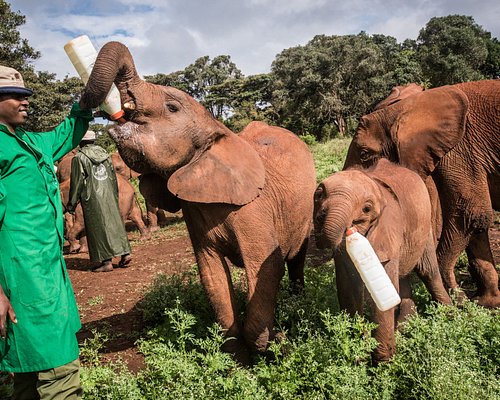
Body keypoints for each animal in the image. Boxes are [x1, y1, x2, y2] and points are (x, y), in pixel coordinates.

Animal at [81, 40, 316, 362]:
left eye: (172, 107)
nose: (103, 112)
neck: (217, 129)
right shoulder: (195, 210)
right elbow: (212, 275)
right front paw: (234, 354)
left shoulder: (254, 207)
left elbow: (266, 268)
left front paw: (270, 344)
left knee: (296, 258)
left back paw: (296, 300)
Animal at [314, 159, 452, 362]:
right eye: (318, 196)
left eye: (366, 209)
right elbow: (348, 288)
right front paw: (358, 357)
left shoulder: (388, 228)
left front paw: (383, 363)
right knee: (402, 277)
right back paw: (404, 328)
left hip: (425, 229)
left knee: (428, 272)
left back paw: (450, 316)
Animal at [344, 79, 500, 308]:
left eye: (364, 154)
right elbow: (476, 223)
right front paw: (486, 302)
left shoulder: (462, 149)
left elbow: (470, 214)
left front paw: (461, 301)